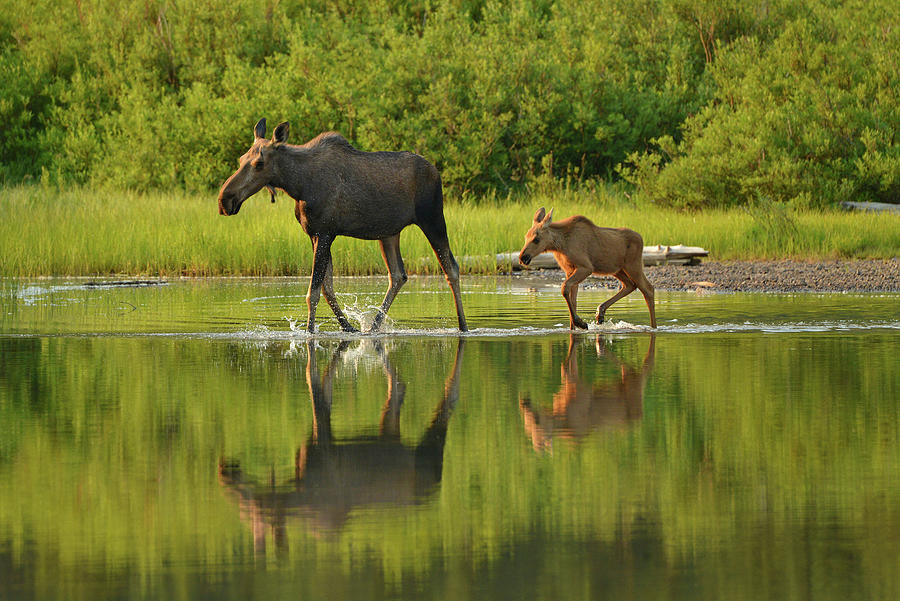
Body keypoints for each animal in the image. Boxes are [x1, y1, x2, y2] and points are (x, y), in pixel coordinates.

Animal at [217, 338, 464, 548]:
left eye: (255, 512)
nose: (224, 471)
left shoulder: (323, 445)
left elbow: (314, 385)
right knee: (400, 391)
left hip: (427, 450)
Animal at [220, 117, 472, 332]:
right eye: (241, 159)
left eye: (259, 163)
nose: (225, 199)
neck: (297, 185)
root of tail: (436, 171)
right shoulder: (315, 234)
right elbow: (327, 287)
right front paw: (348, 326)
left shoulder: (325, 232)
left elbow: (314, 291)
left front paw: (310, 331)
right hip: (389, 232)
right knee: (398, 275)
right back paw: (373, 326)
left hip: (432, 218)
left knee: (451, 267)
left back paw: (463, 326)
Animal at [516, 206, 656, 328]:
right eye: (525, 237)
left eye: (536, 239)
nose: (522, 257)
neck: (559, 245)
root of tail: (641, 238)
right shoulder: (569, 270)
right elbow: (572, 299)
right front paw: (574, 326)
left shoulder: (586, 267)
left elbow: (564, 288)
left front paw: (580, 323)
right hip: (616, 269)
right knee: (630, 285)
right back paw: (600, 313)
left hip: (633, 265)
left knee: (648, 289)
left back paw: (653, 327)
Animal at [520, 332, 652, 450]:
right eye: (526, 427)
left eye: (537, 422)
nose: (523, 403)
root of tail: (640, 414)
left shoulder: (581, 387)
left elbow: (565, 367)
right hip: (628, 380)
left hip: (635, 384)